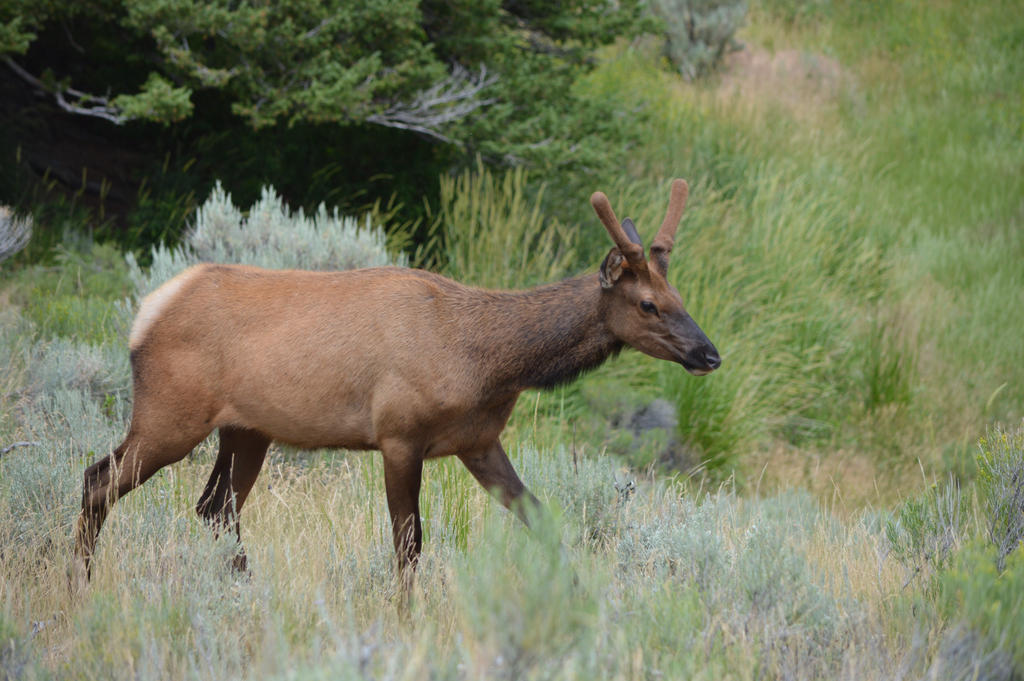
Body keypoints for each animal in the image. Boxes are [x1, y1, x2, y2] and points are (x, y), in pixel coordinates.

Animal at [72, 179, 720, 585]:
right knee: (98, 479)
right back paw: (79, 583)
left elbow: (542, 521)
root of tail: (146, 311)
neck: (486, 362)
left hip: (246, 430)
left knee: (213, 510)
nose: (709, 353)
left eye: (679, 296)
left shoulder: (478, 441)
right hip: (170, 414)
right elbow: (408, 546)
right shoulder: (399, 435)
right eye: (647, 304)